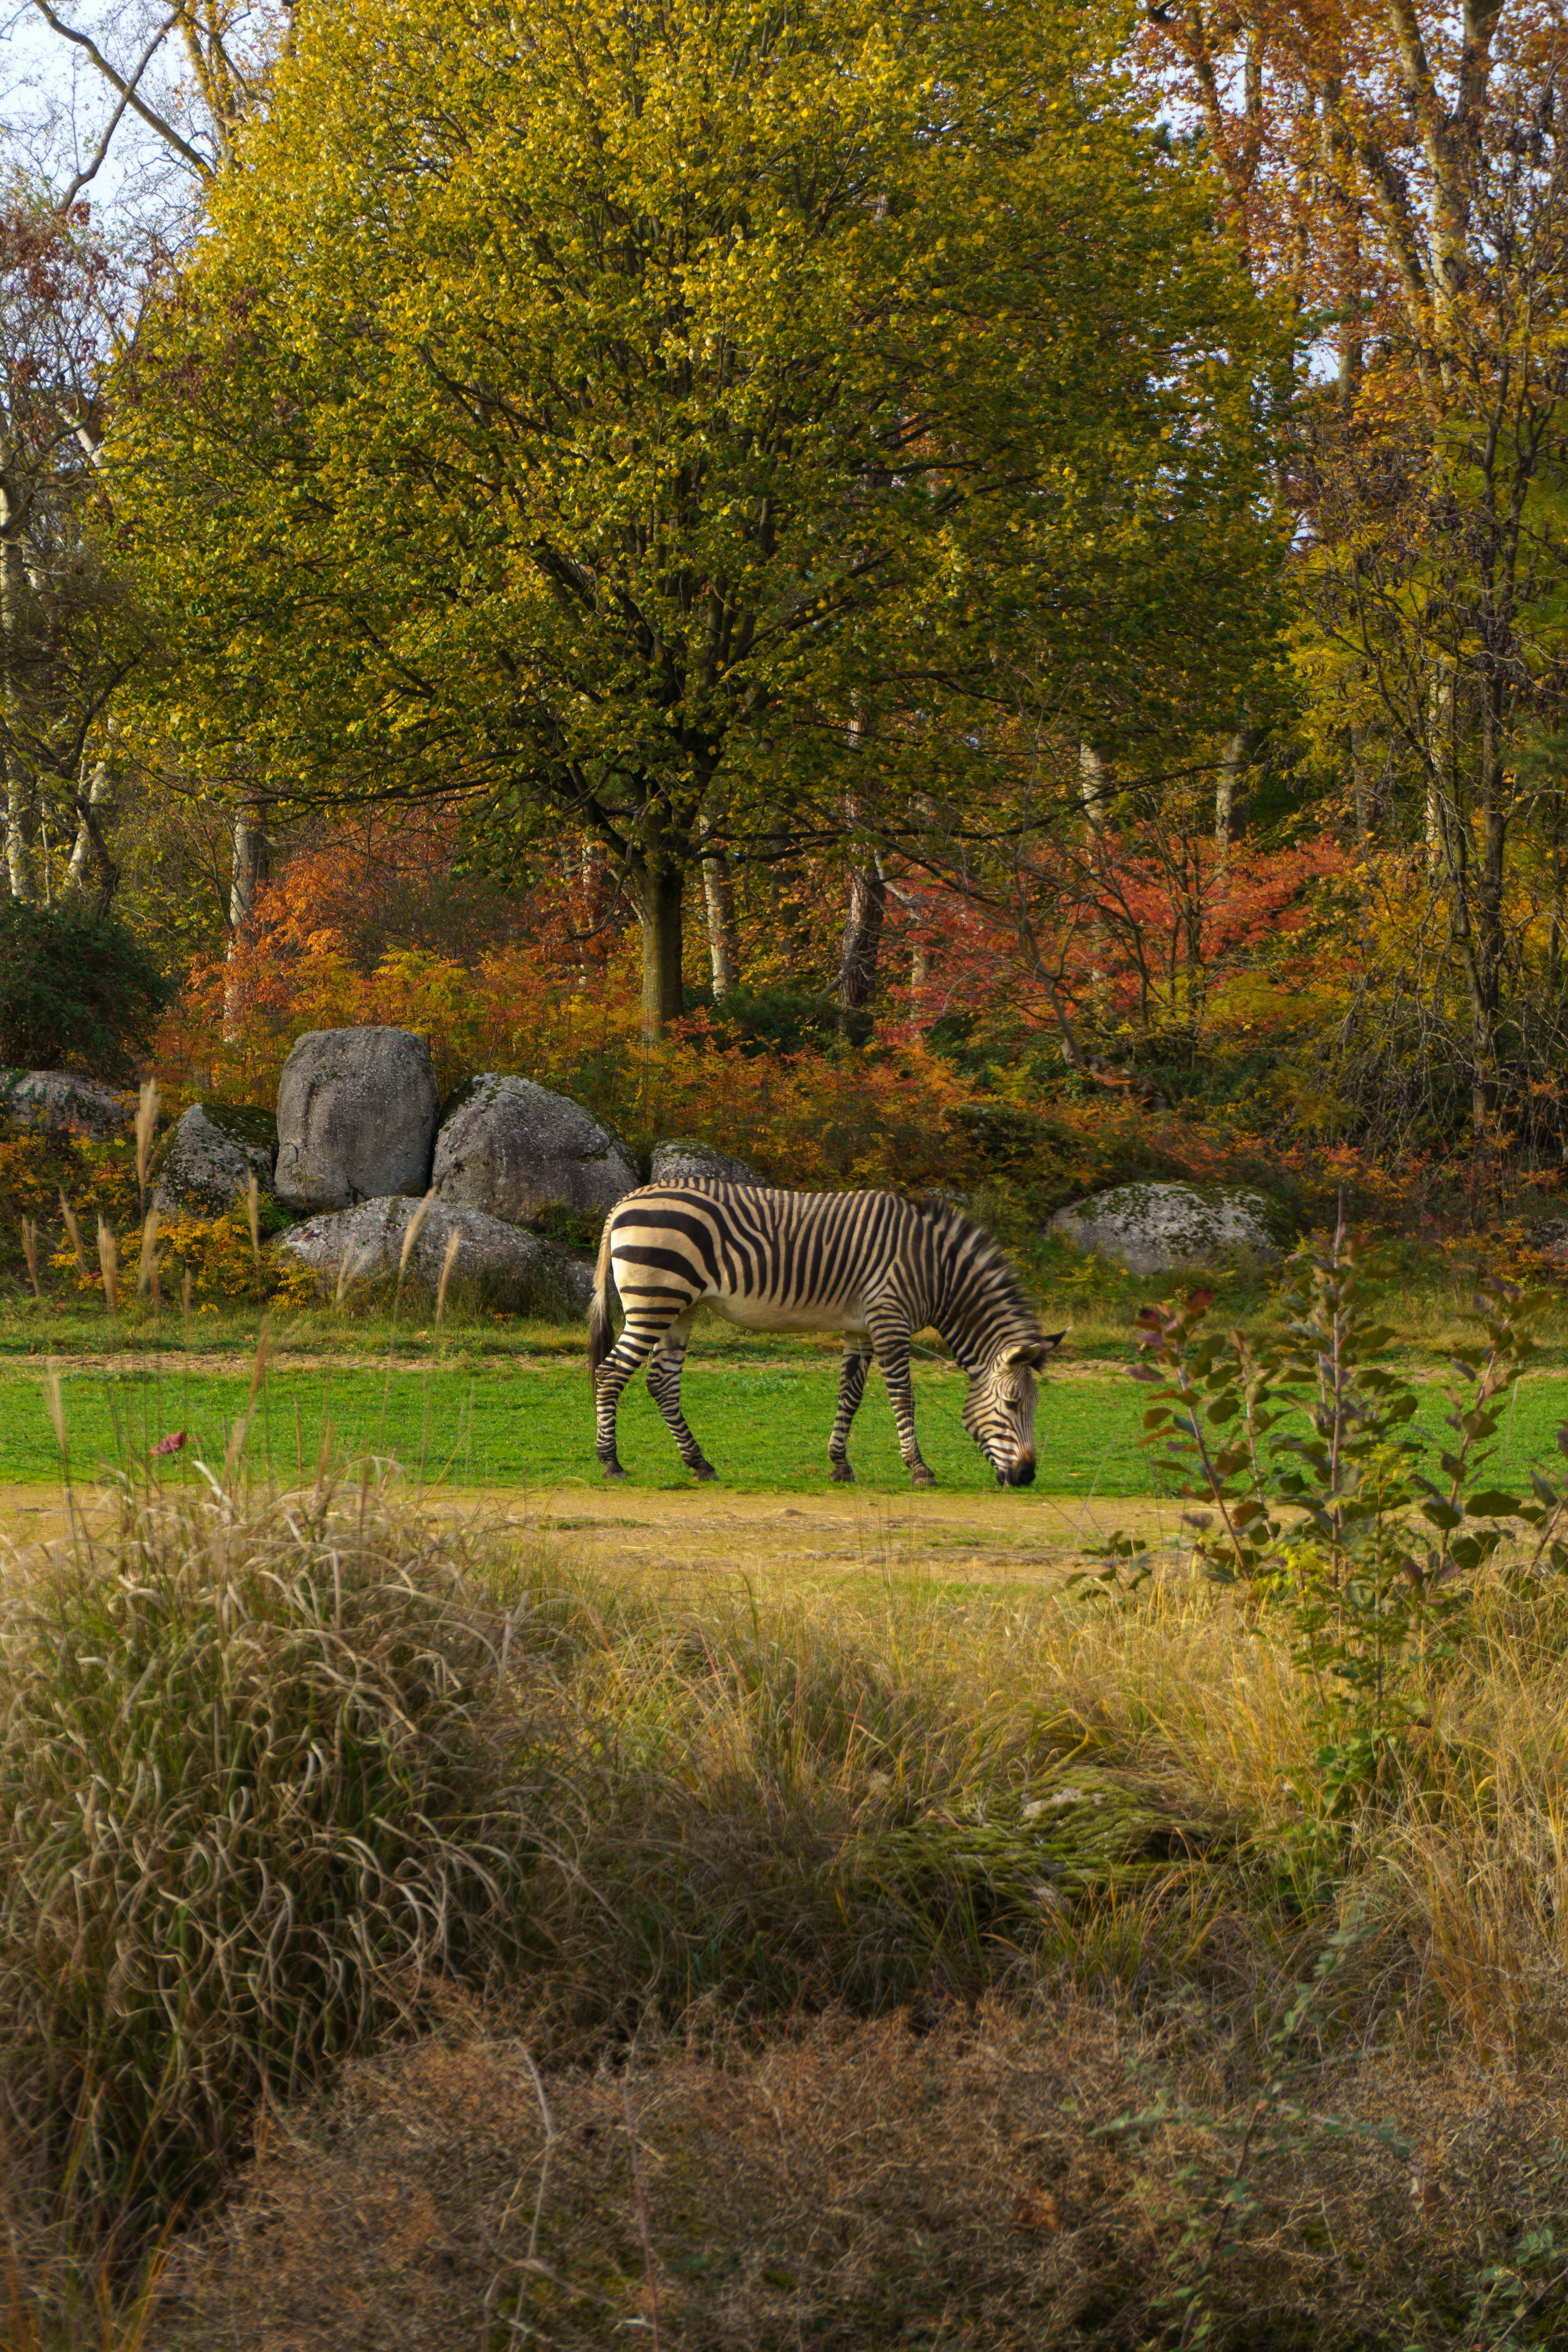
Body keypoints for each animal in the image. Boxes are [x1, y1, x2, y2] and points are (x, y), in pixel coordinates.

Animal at [588, 1181, 1064, 1487]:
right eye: (1013, 1404)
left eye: (1034, 1406)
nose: (1027, 1477)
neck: (937, 1270)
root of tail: (627, 1199)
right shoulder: (890, 1319)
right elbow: (903, 1396)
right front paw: (919, 1468)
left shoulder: (861, 1329)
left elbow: (849, 1395)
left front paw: (840, 1465)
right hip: (654, 1300)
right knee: (610, 1373)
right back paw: (611, 1463)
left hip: (680, 1307)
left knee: (661, 1383)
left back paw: (700, 1464)